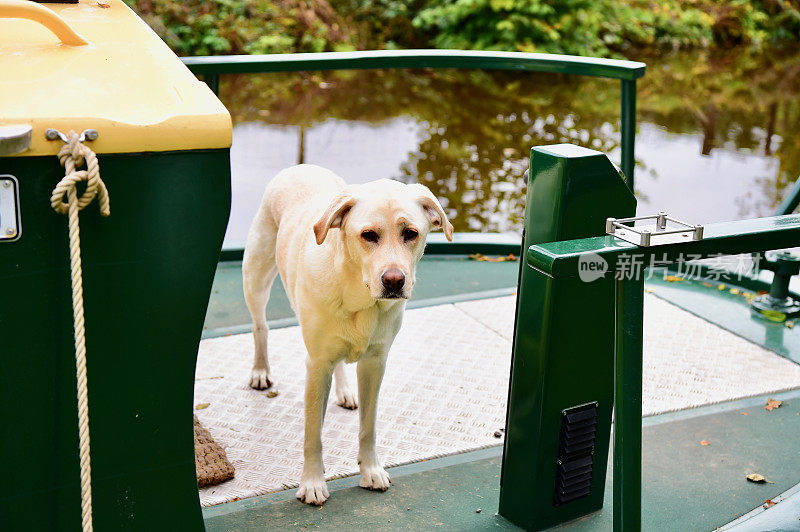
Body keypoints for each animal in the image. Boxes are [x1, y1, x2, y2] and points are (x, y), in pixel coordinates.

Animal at [241, 164, 454, 504]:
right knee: (260, 326)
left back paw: (344, 391)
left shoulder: (375, 364)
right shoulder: (316, 365)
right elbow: (312, 434)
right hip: (256, 278)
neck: (359, 298)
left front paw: (371, 470)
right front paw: (312, 482)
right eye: (368, 235)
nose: (394, 281)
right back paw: (260, 371)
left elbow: (369, 426)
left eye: (411, 233)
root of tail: (300, 166)